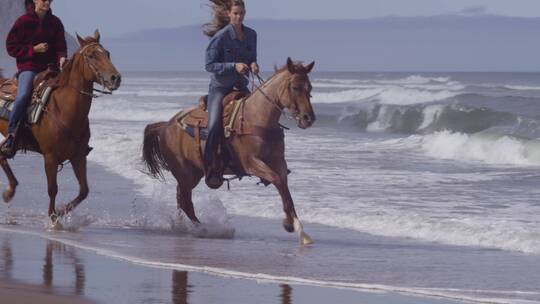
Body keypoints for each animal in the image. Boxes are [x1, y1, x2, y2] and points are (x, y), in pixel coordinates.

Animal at [0, 30, 119, 221]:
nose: (115, 78)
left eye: (107, 53)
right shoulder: (50, 157)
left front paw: (62, 210)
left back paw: (9, 191)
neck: (64, 110)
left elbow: (84, 191)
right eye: (91, 55)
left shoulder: (78, 156)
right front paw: (53, 219)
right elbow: (52, 189)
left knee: (2, 156)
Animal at [142, 58, 316, 246]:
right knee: (185, 202)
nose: (309, 118)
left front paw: (295, 226)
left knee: (181, 200)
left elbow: (285, 188)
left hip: (193, 173)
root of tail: (165, 125)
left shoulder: (279, 162)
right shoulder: (251, 163)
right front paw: (293, 226)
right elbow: (277, 180)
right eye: (295, 87)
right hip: (185, 175)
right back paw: (203, 229)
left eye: (310, 88)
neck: (257, 117)